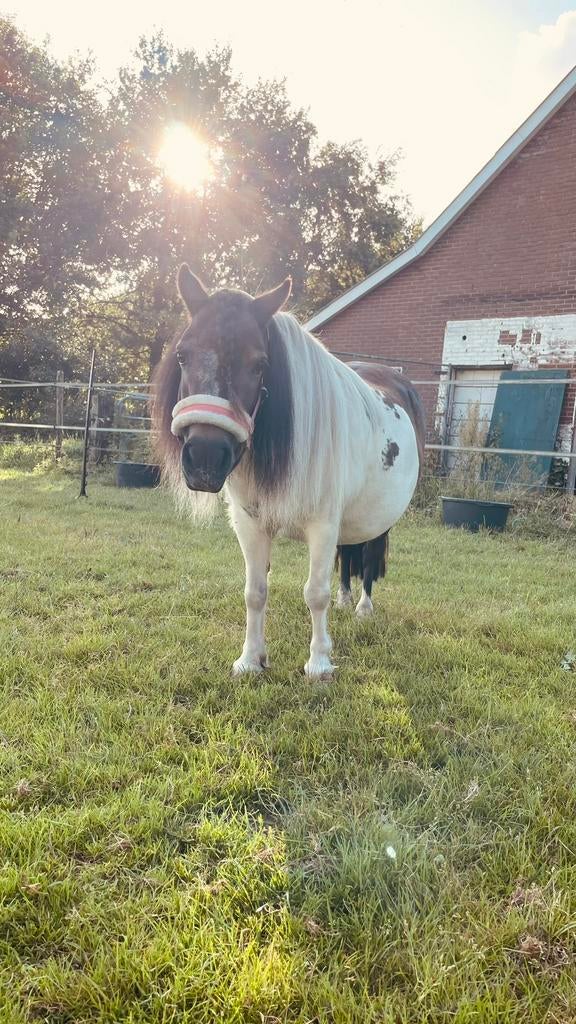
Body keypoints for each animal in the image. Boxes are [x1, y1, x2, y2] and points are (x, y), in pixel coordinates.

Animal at [152, 265, 426, 678]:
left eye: (260, 365)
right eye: (183, 356)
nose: (204, 458)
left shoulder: (323, 524)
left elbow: (315, 594)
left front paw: (319, 663)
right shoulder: (250, 524)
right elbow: (255, 593)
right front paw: (251, 660)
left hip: (382, 517)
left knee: (368, 556)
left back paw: (363, 607)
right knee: (348, 556)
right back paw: (346, 600)